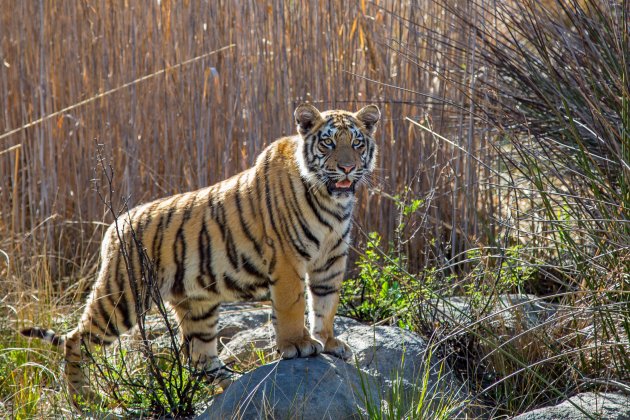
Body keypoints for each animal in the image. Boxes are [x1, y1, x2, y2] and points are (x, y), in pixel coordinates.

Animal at [21, 103, 380, 402]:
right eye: (328, 143)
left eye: (357, 144)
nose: (346, 168)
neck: (332, 202)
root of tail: (116, 223)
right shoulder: (287, 260)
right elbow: (292, 306)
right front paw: (298, 345)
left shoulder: (331, 261)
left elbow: (326, 304)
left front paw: (329, 343)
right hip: (122, 296)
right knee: (75, 339)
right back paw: (84, 398)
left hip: (198, 306)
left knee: (200, 359)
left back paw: (233, 385)